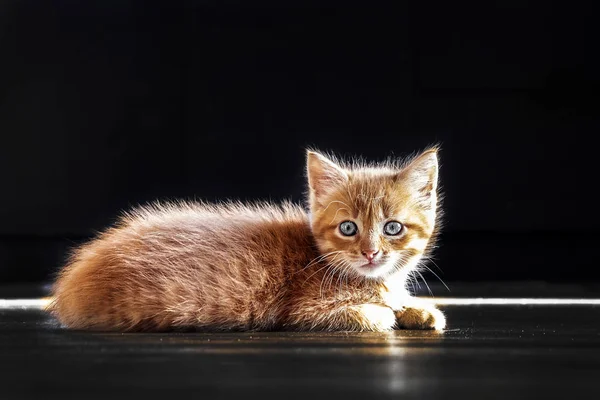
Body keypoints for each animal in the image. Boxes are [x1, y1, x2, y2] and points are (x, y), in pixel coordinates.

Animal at [49, 149, 446, 332]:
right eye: (348, 228)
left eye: (392, 228)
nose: (370, 252)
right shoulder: (302, 309)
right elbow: (371, 314)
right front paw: (387, 312)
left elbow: (398, 301)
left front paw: (418, 309)